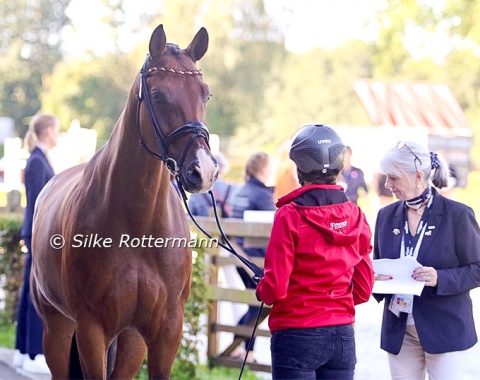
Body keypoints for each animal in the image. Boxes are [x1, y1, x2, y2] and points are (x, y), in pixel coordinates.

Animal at [30, 25, 218, 378]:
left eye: (205, 94)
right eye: (158, 97)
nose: (204, 170)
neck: (137, 225)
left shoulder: (165, 330)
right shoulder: (91, 329)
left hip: (130, 340)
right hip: (56, 327)